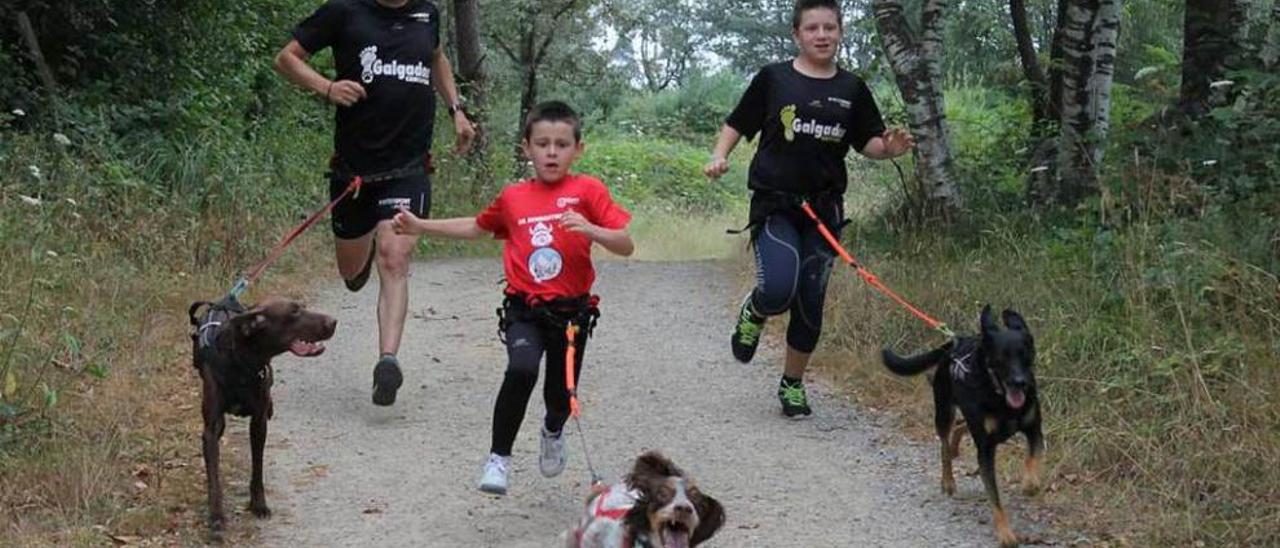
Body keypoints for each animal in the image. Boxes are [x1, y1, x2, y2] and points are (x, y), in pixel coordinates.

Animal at [885, 306, 1044, 545]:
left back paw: (955, 448)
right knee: (943, 446)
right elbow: (995, 498)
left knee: (961, 426)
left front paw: (1030, 484)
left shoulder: (1034, 429)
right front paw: (1005, 534)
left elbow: (1033, 458)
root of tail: (953, 345)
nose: (1020, 382)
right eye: (1002, 356)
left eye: (1024, 353)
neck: (1000, 397)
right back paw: (948, 479)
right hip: (944, 411)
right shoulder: (985, 449)